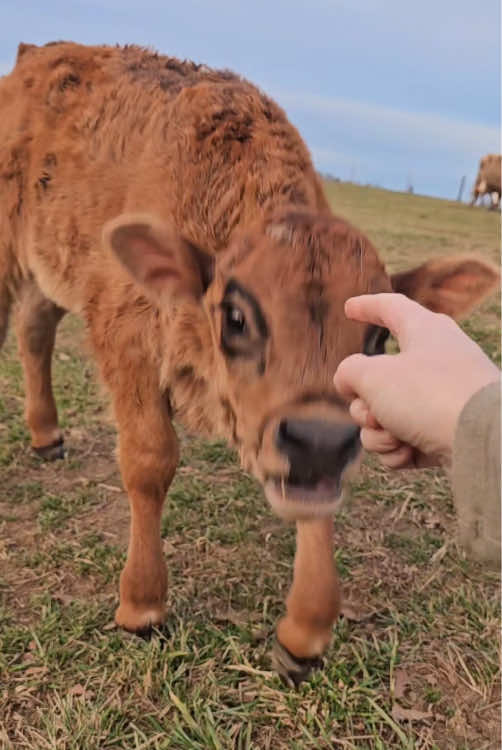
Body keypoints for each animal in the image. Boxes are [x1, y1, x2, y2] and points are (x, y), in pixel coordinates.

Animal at [0, 42, 499, 684]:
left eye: (379, 339)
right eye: (235, 317)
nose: (317, 440)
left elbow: (318, 504)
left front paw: (304, 631)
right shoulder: (127, 337)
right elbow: (150, 460)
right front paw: (142, 606)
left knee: (35, 328)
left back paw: (47, 436)